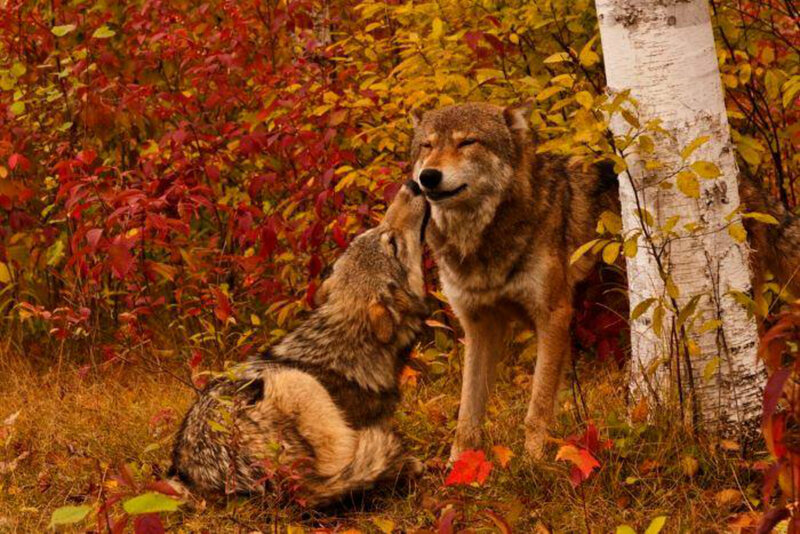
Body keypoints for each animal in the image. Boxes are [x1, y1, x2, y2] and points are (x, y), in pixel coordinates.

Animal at [407, 102, 800, 461]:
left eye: (467, 142)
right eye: (426, 145)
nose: (427, 176)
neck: (480, 241)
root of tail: (746, 180)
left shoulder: (553, 316)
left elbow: (537, 407)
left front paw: (532, 464)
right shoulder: (479, 327)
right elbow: (467, 414)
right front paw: (457, 470)